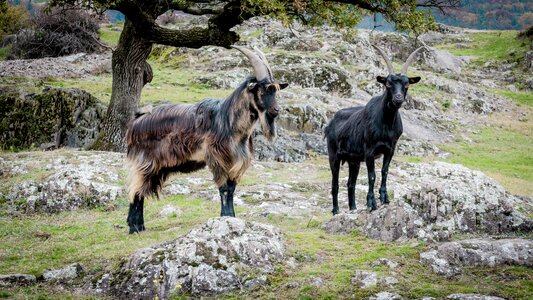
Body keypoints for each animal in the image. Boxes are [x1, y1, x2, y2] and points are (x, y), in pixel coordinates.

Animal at [124, 47, 286, 234]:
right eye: (263, 90)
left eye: (275, 90)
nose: (276, 110)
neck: (228, 120)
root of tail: (135, 122)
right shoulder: (217, 159)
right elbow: (224, 189)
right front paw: (225, 217)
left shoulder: (235, 163)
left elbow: (231, 189)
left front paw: (232, 217)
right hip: (145, 163)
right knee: (135, 190)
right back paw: (134, 227)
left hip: (157, 168)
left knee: (140, 191)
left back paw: (140, 226)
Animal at [324, 45, 424, 213]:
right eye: (388, 84)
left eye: (407, 84)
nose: (398, 98)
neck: (386, 123)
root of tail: (329, 124)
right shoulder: (369, 150)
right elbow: (372, 176)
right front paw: (371, 203)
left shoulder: (390, 149)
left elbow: (384, 171)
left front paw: (384, 198)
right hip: (334, 156)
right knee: (334, 184)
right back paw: (336, 211)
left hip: (354, 160)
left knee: (350, 183)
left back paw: (353, 208)